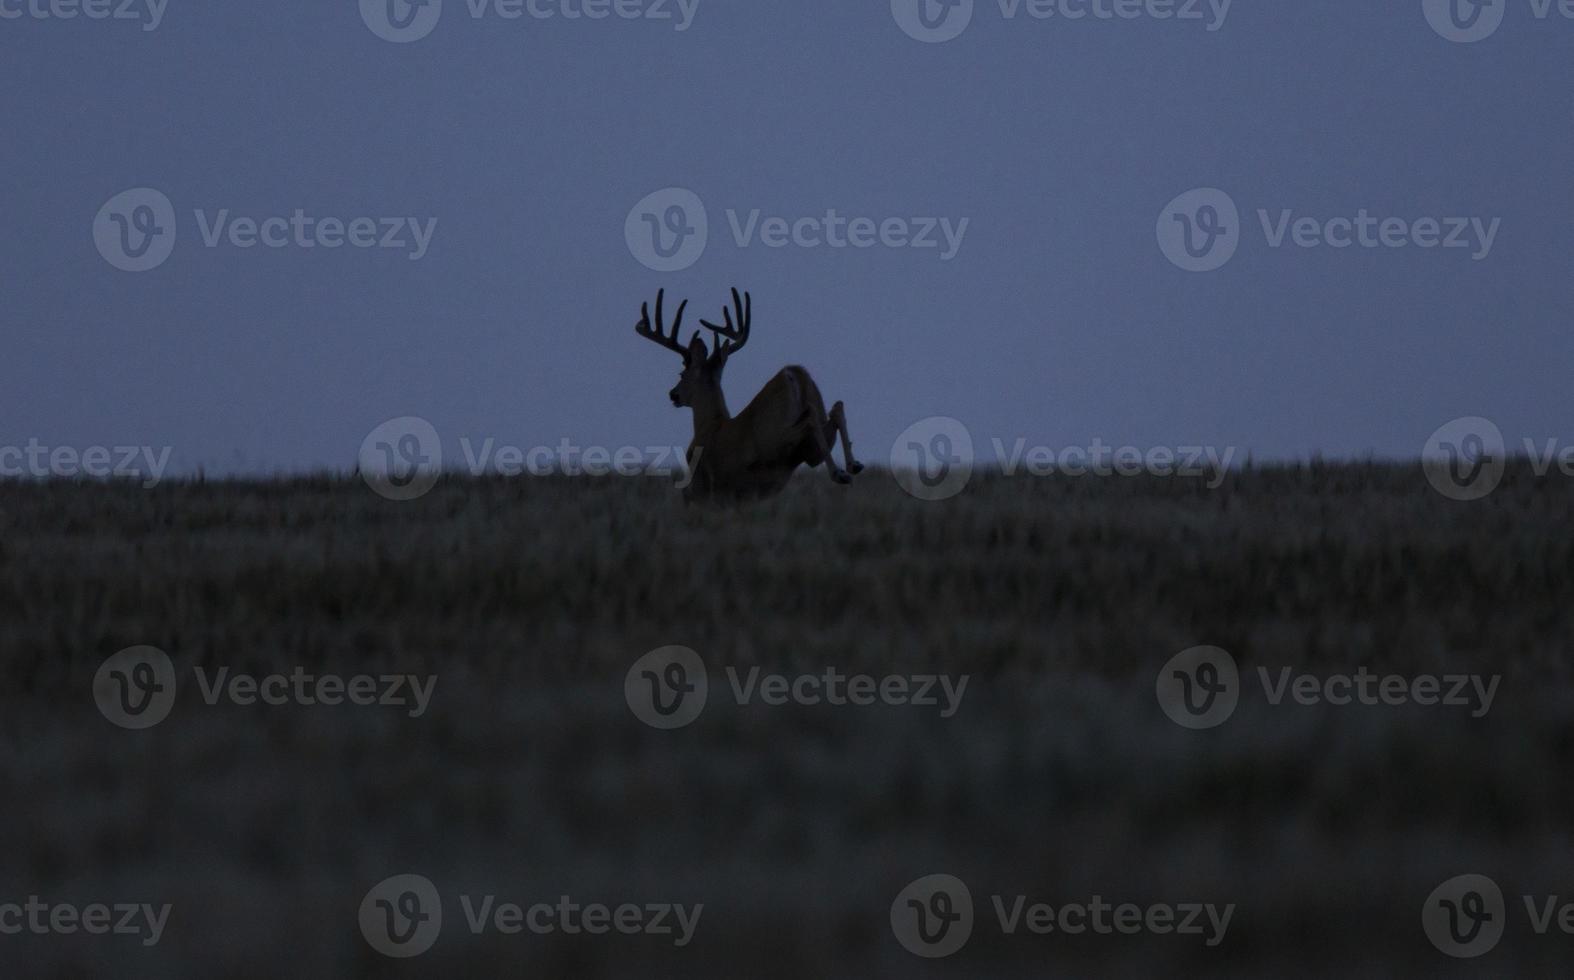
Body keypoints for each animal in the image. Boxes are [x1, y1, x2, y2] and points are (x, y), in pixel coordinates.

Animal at [635, 287, 868, 503]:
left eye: (681, 374)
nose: (673, 394)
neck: (709, 425)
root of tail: (793, 373)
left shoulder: (702, 489)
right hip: (809, 448)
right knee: (836, 408)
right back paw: (853, 466)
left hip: (774, 441)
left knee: (810, 420)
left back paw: (840, 473)